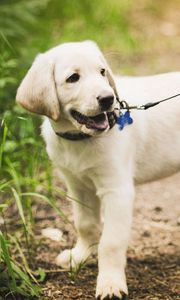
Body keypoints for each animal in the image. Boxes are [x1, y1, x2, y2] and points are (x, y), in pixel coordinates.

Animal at [15, 41, 180, 298]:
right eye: (73, 78)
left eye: (102, 72)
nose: (108, 98)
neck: (79, 139)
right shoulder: (77, 185)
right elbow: (85, 224)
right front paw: (80, 256)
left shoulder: (117, 190)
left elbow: (110, 242)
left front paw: (110, 283)